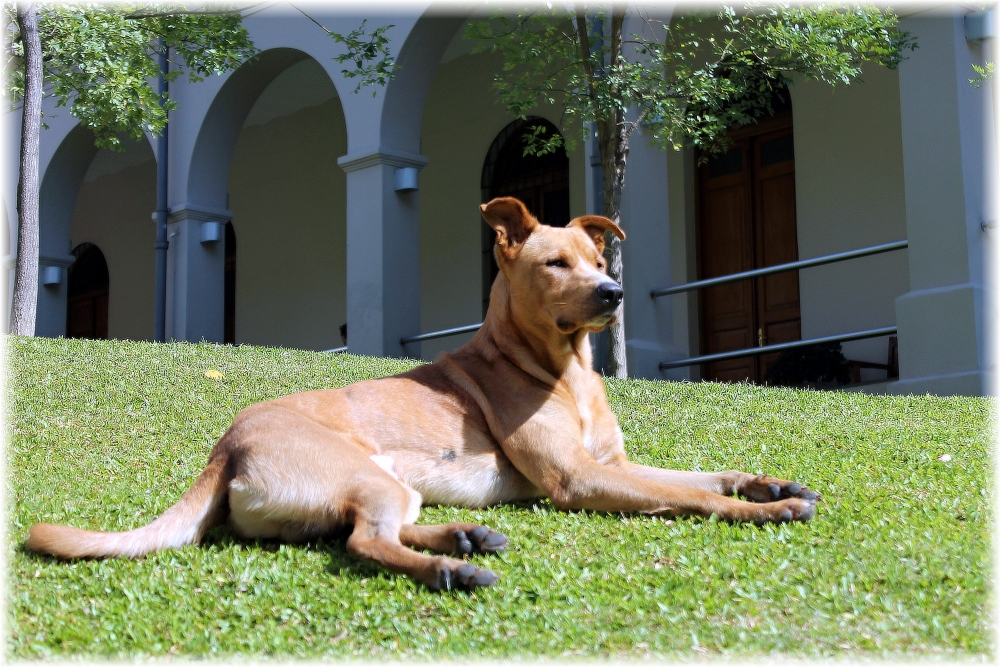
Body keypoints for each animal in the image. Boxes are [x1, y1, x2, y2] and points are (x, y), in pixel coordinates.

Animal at [27, 197, 816, 588]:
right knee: (365, 542)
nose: (613, 293)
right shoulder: (577, 478)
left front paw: (768, 484)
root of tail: (227, 445)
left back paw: (464, 535)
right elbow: (691, 497)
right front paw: (761, 511)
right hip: (368, 476)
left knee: (356, 530)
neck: (564, 372)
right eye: (556, 263)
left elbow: (704, 474)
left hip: (383, 486)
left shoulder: (614, 465)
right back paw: (450, 565)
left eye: (598, 258)